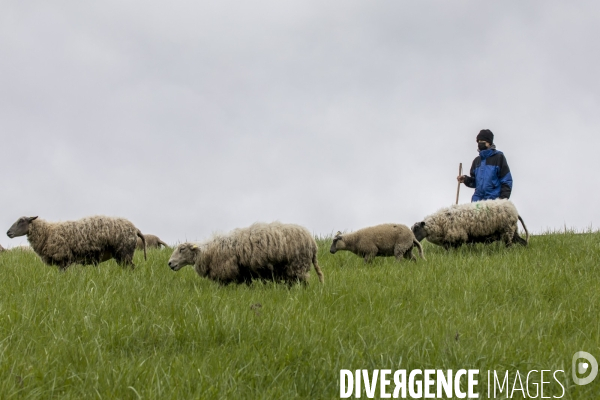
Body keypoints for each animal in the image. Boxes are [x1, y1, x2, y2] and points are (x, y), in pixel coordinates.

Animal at [7, 214, 148, 270]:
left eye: (21, 221)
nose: (8, 233)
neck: (47, 232)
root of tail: (135, 229)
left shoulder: (63, 259)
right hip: (121, 256)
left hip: (125, 253)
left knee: (132, 268)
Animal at [166, 222, 326, 284]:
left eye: (182, 249)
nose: (170, 263)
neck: (208, 252)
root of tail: (313, 243)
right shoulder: (244, 272)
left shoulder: (226, 270)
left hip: (297, 265)